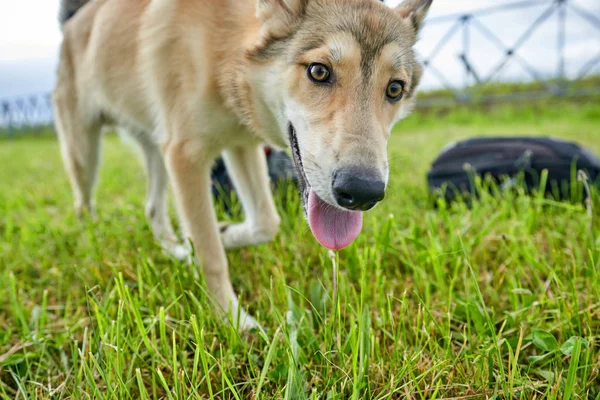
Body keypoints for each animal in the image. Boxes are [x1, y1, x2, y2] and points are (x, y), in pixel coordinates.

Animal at [52, 0, 432, 330]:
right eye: (319, 71)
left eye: (395, 89)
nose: (363, 191)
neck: (225, 51)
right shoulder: (186, 156)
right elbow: (212, 257)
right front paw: (232, 321)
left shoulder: (239, 144)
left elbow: (266, 223)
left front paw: (227, 234)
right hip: (86, 153)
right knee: (83, 206)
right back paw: (91, 244)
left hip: (156, 148)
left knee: (152, 209)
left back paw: (176, 250)